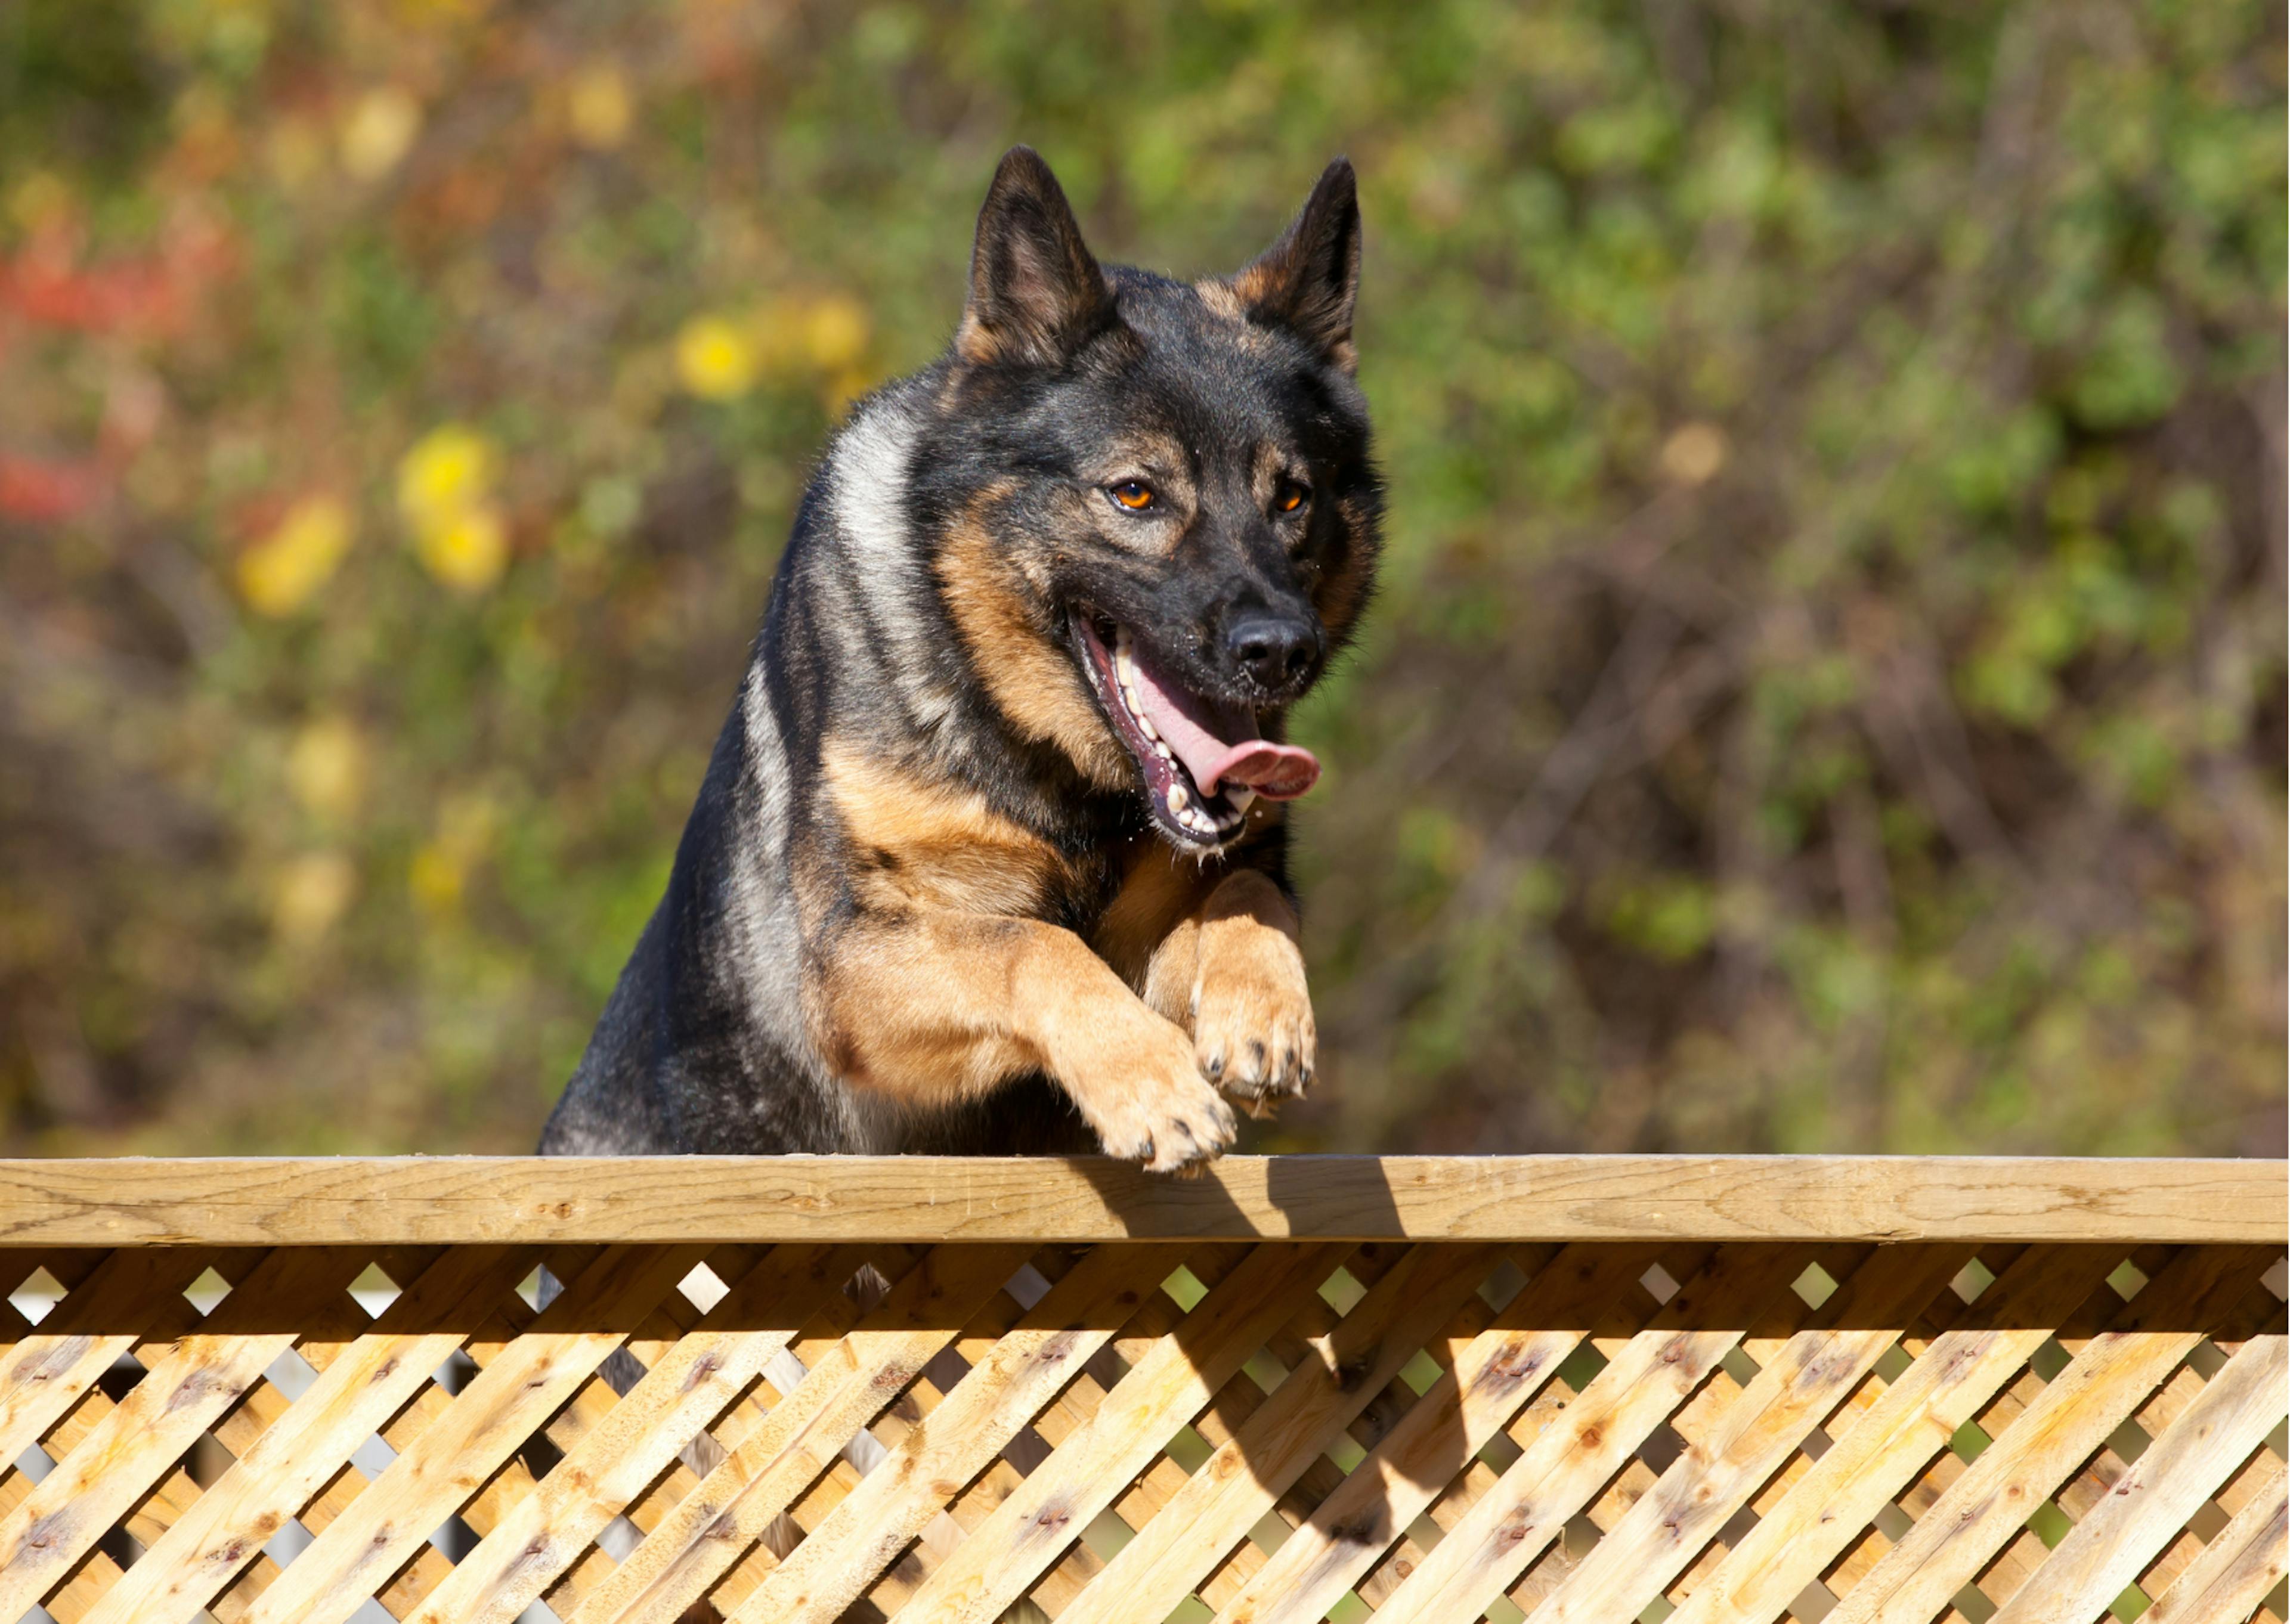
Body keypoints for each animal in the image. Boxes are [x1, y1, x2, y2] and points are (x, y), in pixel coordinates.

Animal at [544, 148, 1374, 1163]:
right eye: (1135, 495)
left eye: (1292, 499)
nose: (1281, 650)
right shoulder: (853, 966)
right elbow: (1032, 945)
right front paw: (1152, 1087)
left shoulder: (1188, 902)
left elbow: (1250, 893)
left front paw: (1263, 1017)